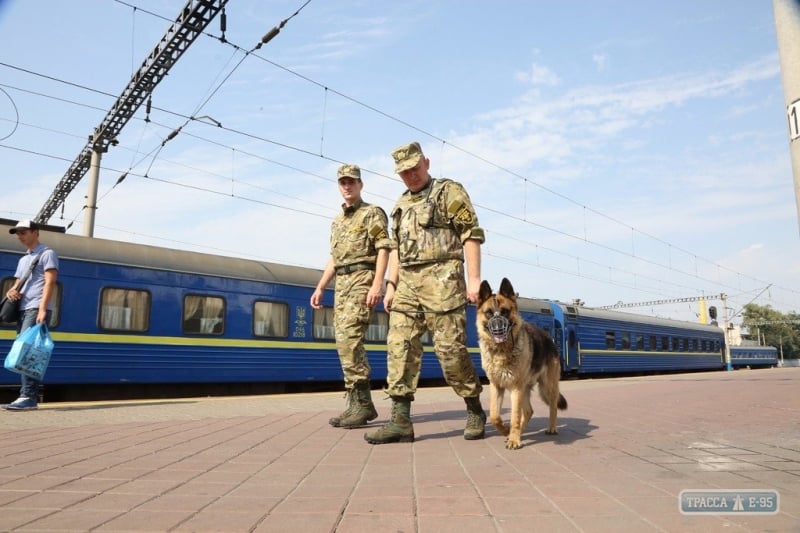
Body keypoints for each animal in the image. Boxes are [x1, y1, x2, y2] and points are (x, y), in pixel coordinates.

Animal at [478, 278, 564, 448]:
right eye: (489, 313)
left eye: (505, 311)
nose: (498, 329)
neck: (501, 351)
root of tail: (548, 338)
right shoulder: (496, 386)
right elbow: (494, 415)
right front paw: (506, 431)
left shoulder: (515, 387)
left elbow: (515, 416)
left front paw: (513, 438)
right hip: (524, 388)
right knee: (529, 411)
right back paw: (519, 432)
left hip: (546, 386)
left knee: (552, 406)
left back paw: (550, 428)